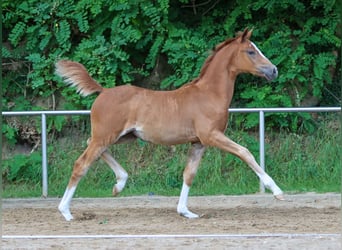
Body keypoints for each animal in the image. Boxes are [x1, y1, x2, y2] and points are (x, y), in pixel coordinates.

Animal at [56, 28, 282, 221]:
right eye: (251, 51)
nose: (274, 70)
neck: (209, 94)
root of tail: (103, 91)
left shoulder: (198, 143)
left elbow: (189, 174)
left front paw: (185, 211)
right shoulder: (211, 135)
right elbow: (245, 152)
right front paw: (277, 191)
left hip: (122, 136)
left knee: (91, 145)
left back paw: (119, 183)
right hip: (106, 136)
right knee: (81, 164)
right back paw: (66, 211)